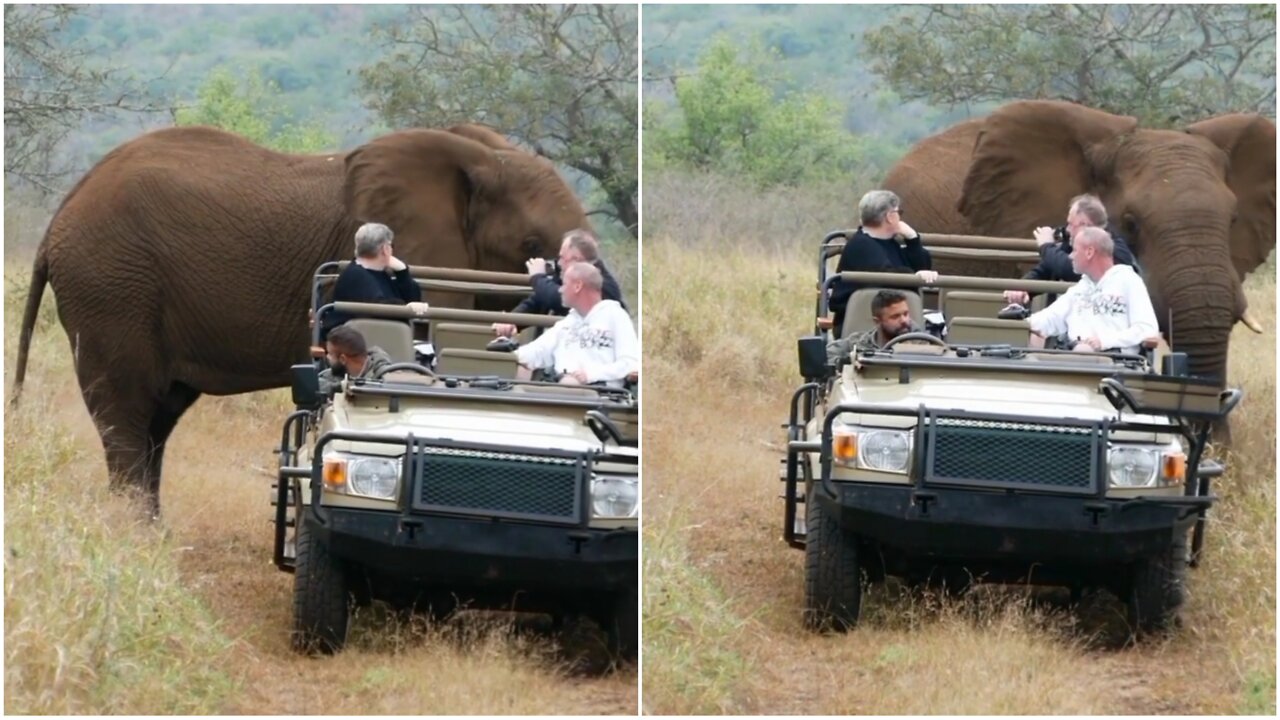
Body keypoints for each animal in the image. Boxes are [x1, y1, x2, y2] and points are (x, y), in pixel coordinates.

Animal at [12, 124, 591, 515]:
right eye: (531, 245)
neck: (483, 154)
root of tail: (59, 217)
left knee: (158, 416)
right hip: (113, 286)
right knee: (127, 412)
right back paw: (136, 532)